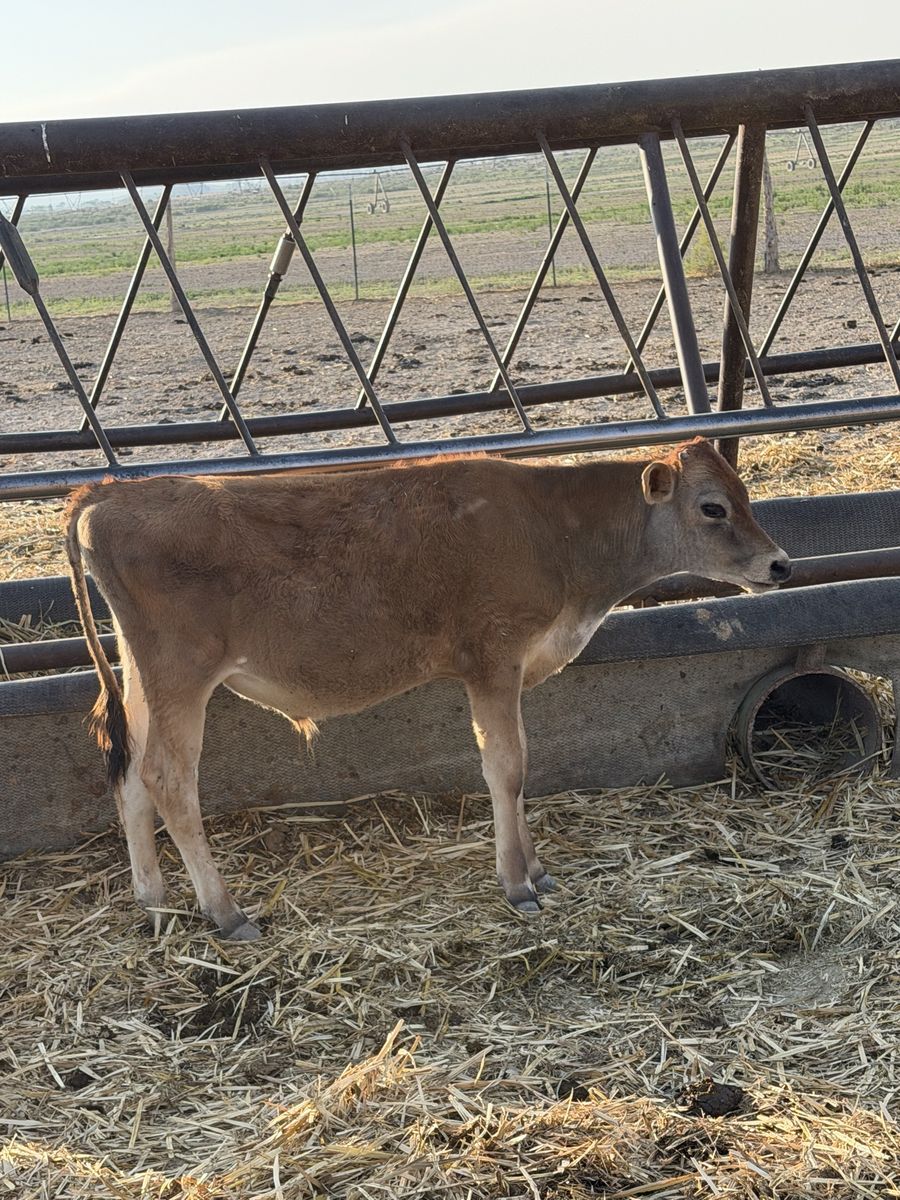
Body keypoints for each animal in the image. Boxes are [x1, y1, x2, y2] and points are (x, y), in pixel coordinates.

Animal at [65, 438, 790, 939]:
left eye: (745, 495)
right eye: (712, 507)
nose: (780, 564)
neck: (554, 531)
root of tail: (109, 492)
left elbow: (519, 770)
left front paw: (537, 869)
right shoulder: (493, 661)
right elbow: (507, 767)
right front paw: (517, 883)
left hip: (142, 674)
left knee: (130, 776)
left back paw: (155, 903)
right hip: (180, 673)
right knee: (168, 779)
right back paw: (224, 911)